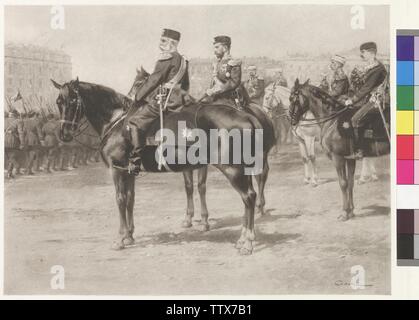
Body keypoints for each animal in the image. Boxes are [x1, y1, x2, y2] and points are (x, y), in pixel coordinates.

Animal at [50, 77, 274, 255]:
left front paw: (120, 239)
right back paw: (243, 238)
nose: (64, 134)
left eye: (72, 101)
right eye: (58, 102)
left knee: (249, 197)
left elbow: (120, 200)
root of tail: (247, 115)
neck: (117, 123)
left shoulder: (117, 170)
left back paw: (247, 242)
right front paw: (129, 235)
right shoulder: (129, 172)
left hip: (232, 169)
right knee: (249, 196)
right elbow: (130, 200)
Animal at [288, 79, 390, 221]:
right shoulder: (350, 159)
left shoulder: (338, 158)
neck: (332, 121)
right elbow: (350, 182)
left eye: (292, 98)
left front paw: (344, 212)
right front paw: (351, 211)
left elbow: (343, 183)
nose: (291, 119)